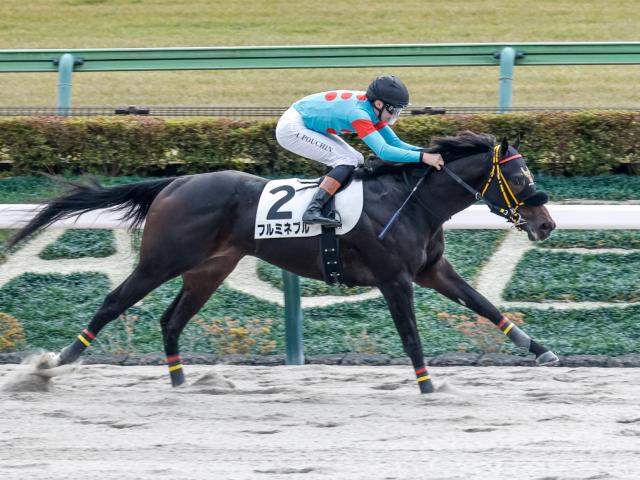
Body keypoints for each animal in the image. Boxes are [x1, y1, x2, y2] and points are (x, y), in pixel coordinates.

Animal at [7, 131, 558, 394]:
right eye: (520, 177)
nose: (547, 224)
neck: (412, 201)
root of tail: (174, 182)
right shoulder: (394, 279)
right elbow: (410, 335)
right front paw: (426, 385)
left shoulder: (432, 270)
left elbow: (484, 305)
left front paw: (541, 350)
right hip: (160, 261)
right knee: (114, 301)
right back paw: (56, 362)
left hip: (210, 269)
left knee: (171, 320)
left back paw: (183, 382)